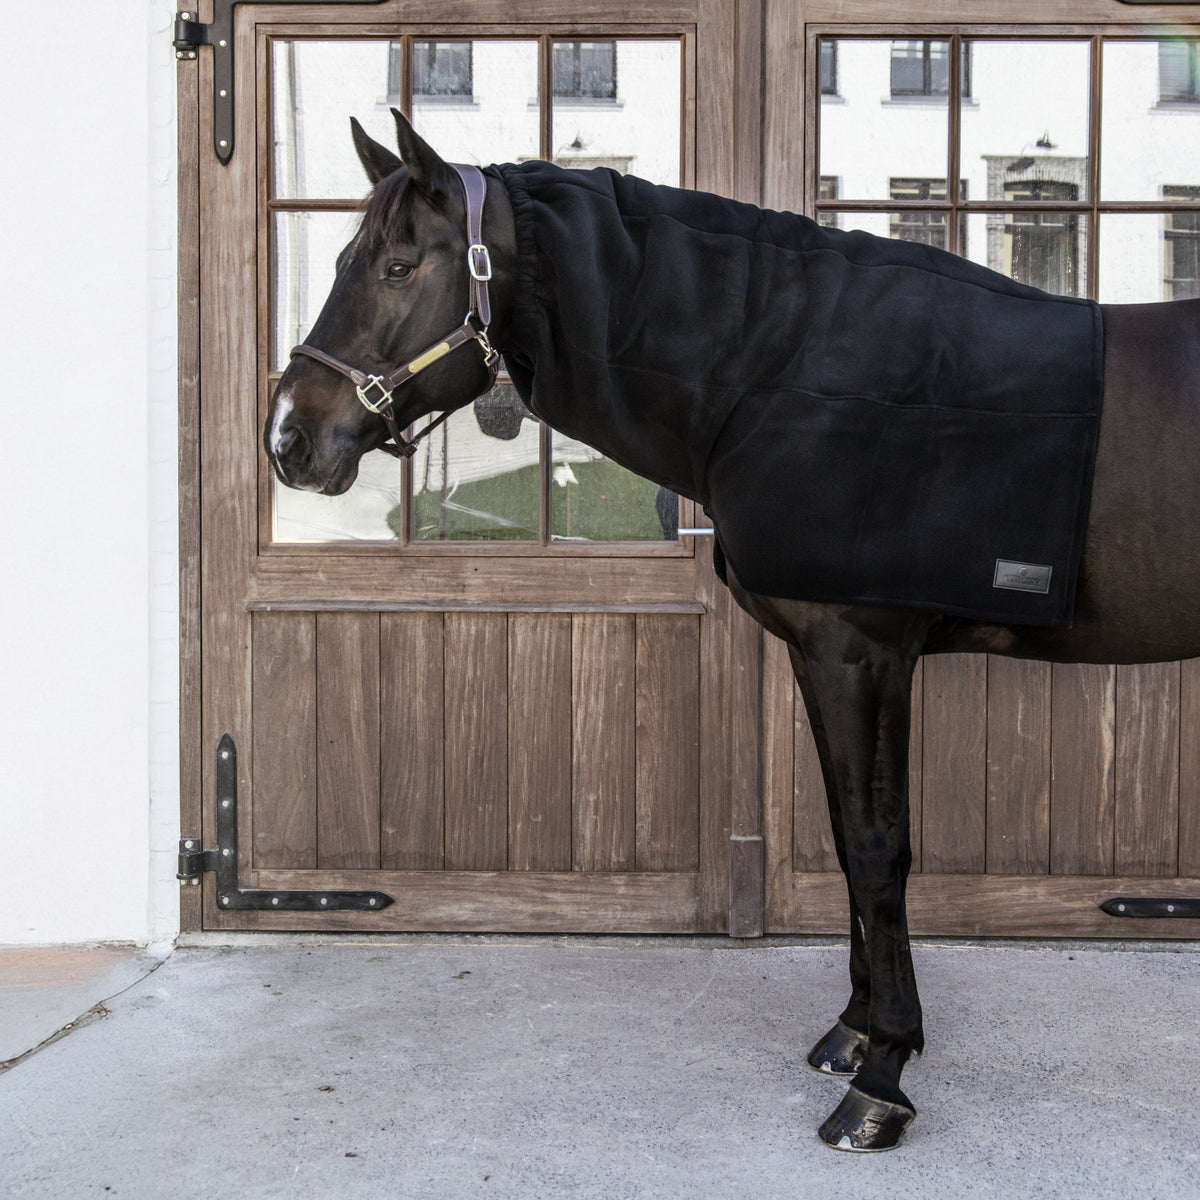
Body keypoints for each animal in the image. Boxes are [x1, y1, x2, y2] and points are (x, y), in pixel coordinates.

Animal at [264, 109, 1200, 1152]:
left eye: (396, 266)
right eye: (342, 258)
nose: (289, 438)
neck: (785, 369)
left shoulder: (861, 652)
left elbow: (877, 845)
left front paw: (881, 1077)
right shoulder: (826, 655)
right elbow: (844, 834)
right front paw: (853, 1031)